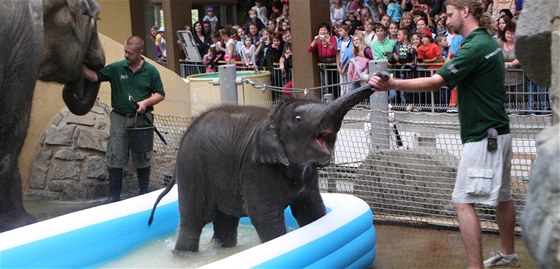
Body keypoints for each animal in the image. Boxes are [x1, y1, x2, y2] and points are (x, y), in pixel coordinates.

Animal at [149, 76, 384, 252]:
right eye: (298, 119)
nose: (381, 76)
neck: (271, 119)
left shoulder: (307, 173)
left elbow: (311, 209)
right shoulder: (256, 168)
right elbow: (265, 216)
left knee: (226, 220)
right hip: (192, 169)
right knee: (192, 223)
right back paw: (183, 256)